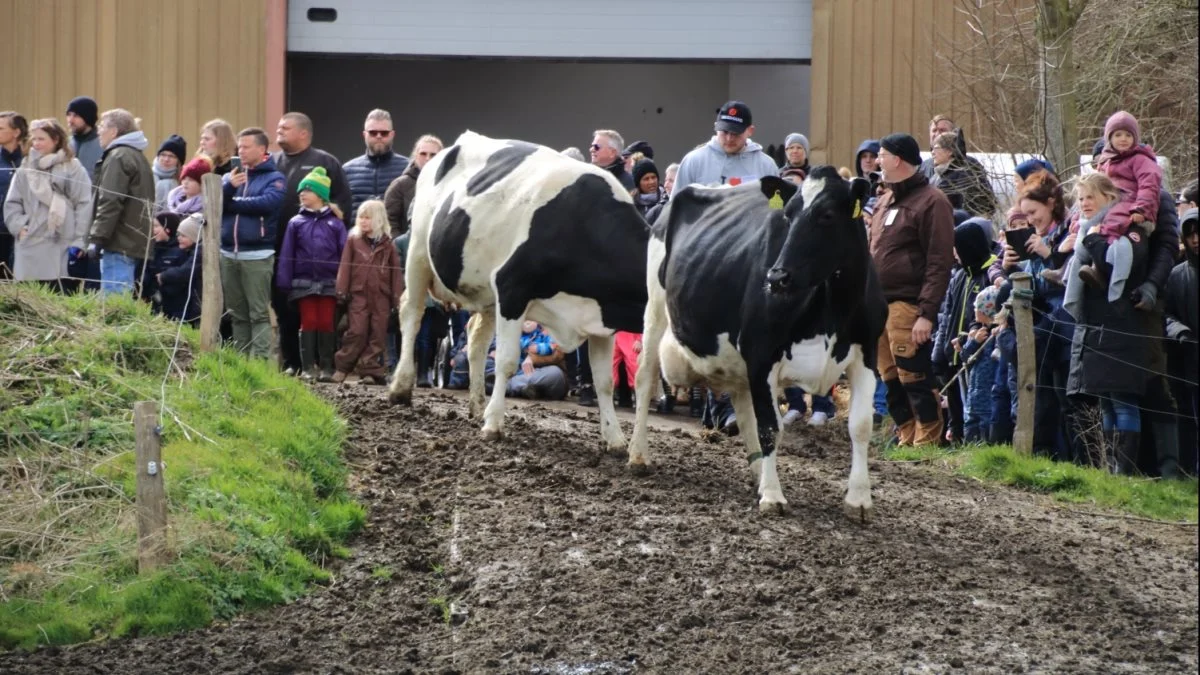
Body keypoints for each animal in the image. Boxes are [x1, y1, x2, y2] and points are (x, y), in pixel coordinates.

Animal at [386, 130, 648, 446]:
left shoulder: (600, 319)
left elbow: (604, 380)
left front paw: (615, 439)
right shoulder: (511, 287)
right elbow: (507, 361)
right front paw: (494, 425)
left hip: (485, 292)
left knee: (475, 338)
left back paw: (477, 405)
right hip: (418, 254)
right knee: (411, 313)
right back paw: (400, 389)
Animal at [628, 166, 892, 514]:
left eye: (826, 215)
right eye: (788, 214)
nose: (777, 277)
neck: (833, 308)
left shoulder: (867, 355)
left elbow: (860, 426)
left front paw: (859, 498)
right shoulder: (762, 352)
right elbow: (770, 427)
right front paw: (773, 496)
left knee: (742, 410)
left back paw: (757, 474)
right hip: (656, 308)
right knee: (645, 377)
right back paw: (637, 455)